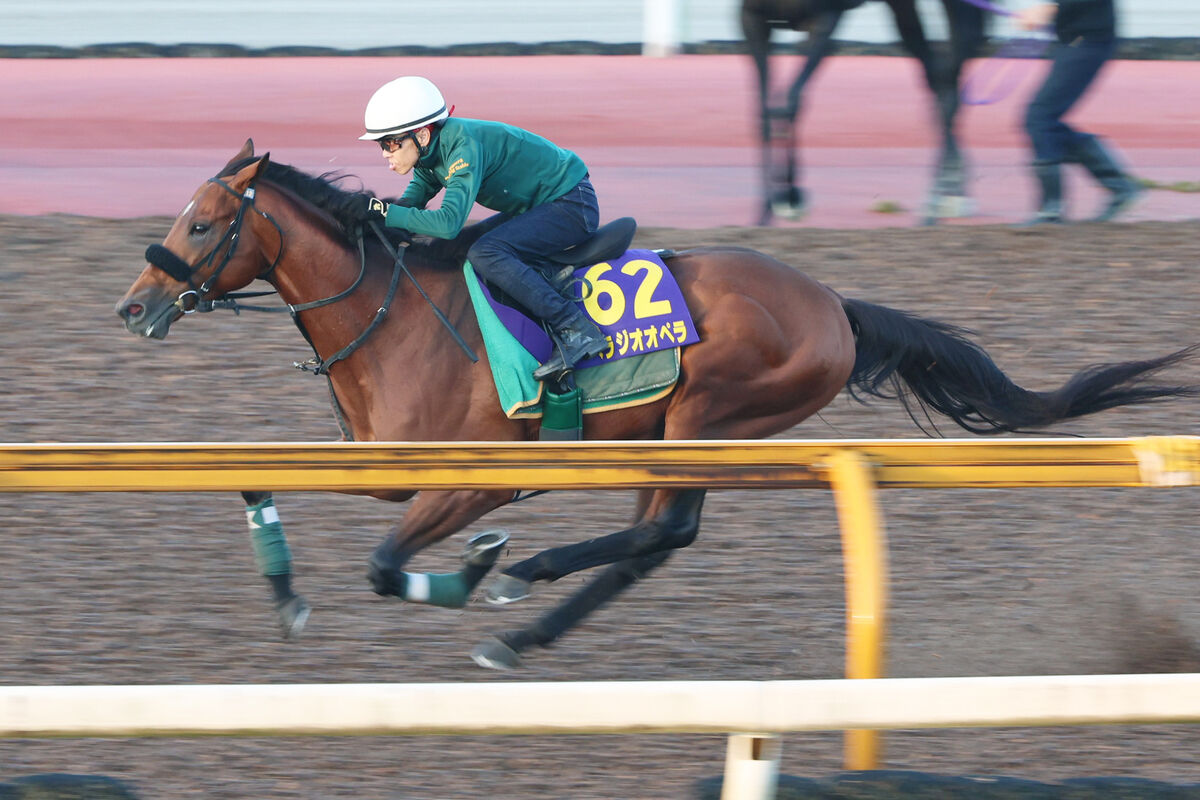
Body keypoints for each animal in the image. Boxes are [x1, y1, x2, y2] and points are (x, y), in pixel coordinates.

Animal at [117, 142, 1195, 671]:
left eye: (203, 223)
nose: (135, 305)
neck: (398, 316)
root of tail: (832, 304)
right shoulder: (387, 467)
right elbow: (259, 483)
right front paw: (286, 592)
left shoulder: (482, 478)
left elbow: (387, 568)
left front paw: (475, 569)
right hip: (673, 432)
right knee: (656, 538)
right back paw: (523, 622)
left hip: (709, 417)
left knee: (663, 529)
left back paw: (520, 585)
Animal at [744, 0, 988, 224]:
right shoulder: (753, 19)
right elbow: (764, 110)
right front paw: (769, 207)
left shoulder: (825, 19)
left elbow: (790, 103)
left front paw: (789, 198)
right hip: (904, 7)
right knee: (938, 75)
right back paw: (951, 190)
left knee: (948, 74)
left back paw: (944, 194)